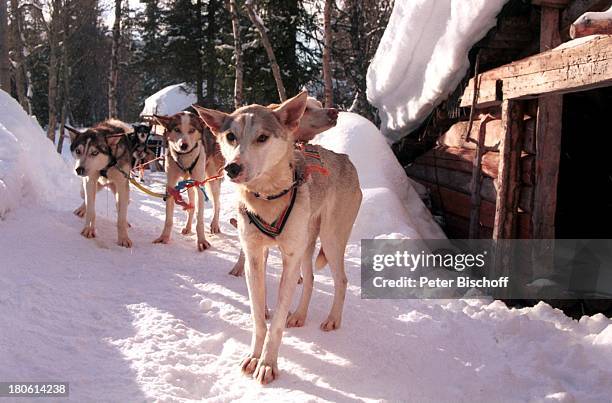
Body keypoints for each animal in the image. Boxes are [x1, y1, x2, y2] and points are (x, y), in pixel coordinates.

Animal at [69, 118, 136, 248]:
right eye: (78, 151)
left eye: (95, 153)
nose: (79, 169)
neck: (107, 166)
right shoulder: (90, 181)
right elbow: (91, 210)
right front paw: (89, 229)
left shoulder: (122, 185)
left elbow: (121, 217)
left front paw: (123, 238)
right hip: (88, 188)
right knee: (85, 197)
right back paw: (82, 209)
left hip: (122, 192)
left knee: (122, 206)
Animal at [152, 112, 224, 251]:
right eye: (177, 129)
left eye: (191, 130)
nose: (183, 145)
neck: (184, 158)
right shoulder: (171, 186)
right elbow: (168, 219)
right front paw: (164, 237)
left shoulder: (199, 185)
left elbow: (200, 219)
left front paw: (202, 241)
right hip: (189, 183)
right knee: (191, 205)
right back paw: (188, 227)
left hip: (213, 180)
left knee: (217, 204)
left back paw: (214, 224)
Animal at [194, 91, 360, 386]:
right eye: (231, 136)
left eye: (262, 137)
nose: (232, 168)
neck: (267, 197)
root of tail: (345, 158)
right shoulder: (254, 257)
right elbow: (259, 317)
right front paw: (254, 356)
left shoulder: (288, 260)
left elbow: (277, 323)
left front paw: (268, 364)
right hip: (306, 246)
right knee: (310, 279)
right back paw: (301, 315)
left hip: (331, 240)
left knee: (340, 280)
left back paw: (332, 319)